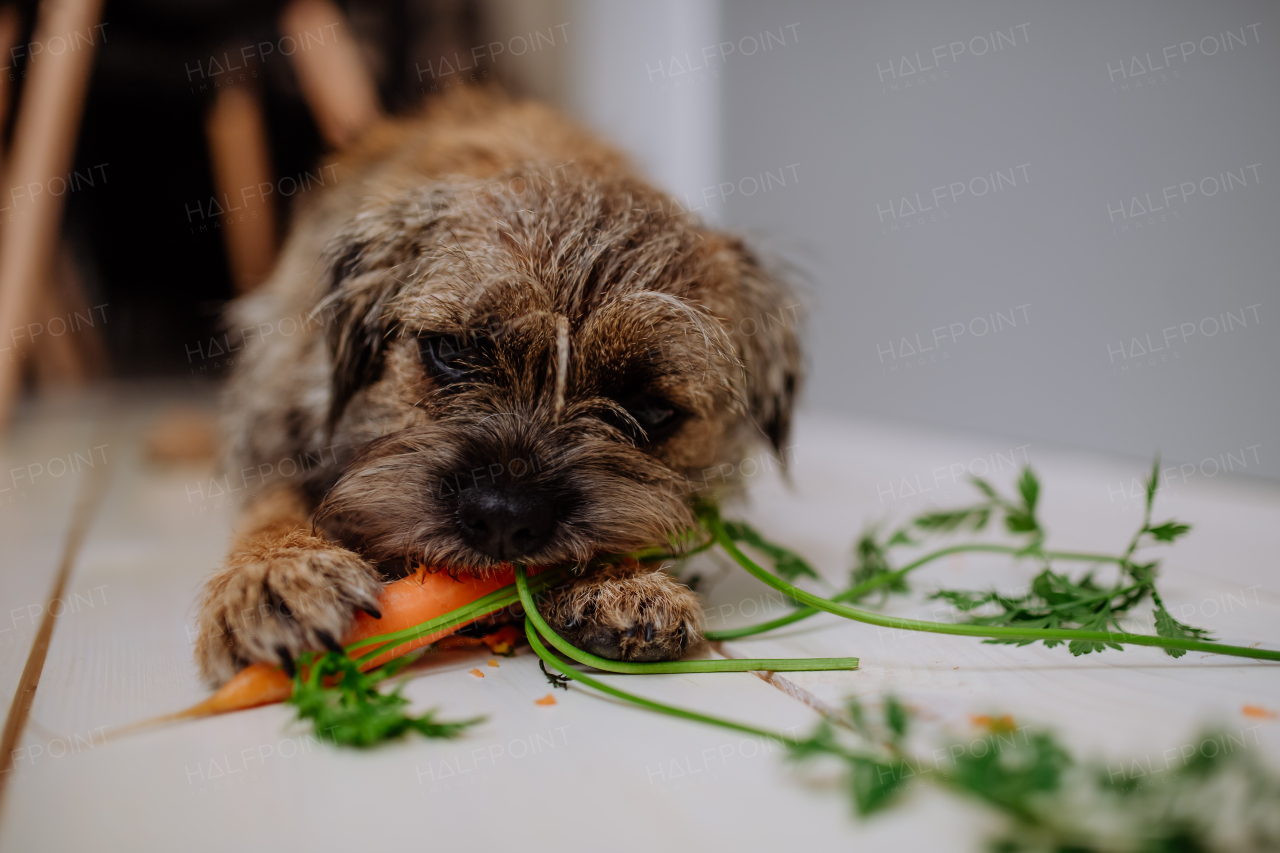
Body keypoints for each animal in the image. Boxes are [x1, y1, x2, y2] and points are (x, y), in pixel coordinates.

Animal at [194, 86, 798, 686]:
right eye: (451, 351)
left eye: (650, 411)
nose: (505, 517)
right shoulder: (268, 418)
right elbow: (271, 497)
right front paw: (276, 571)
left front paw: (620, 582)